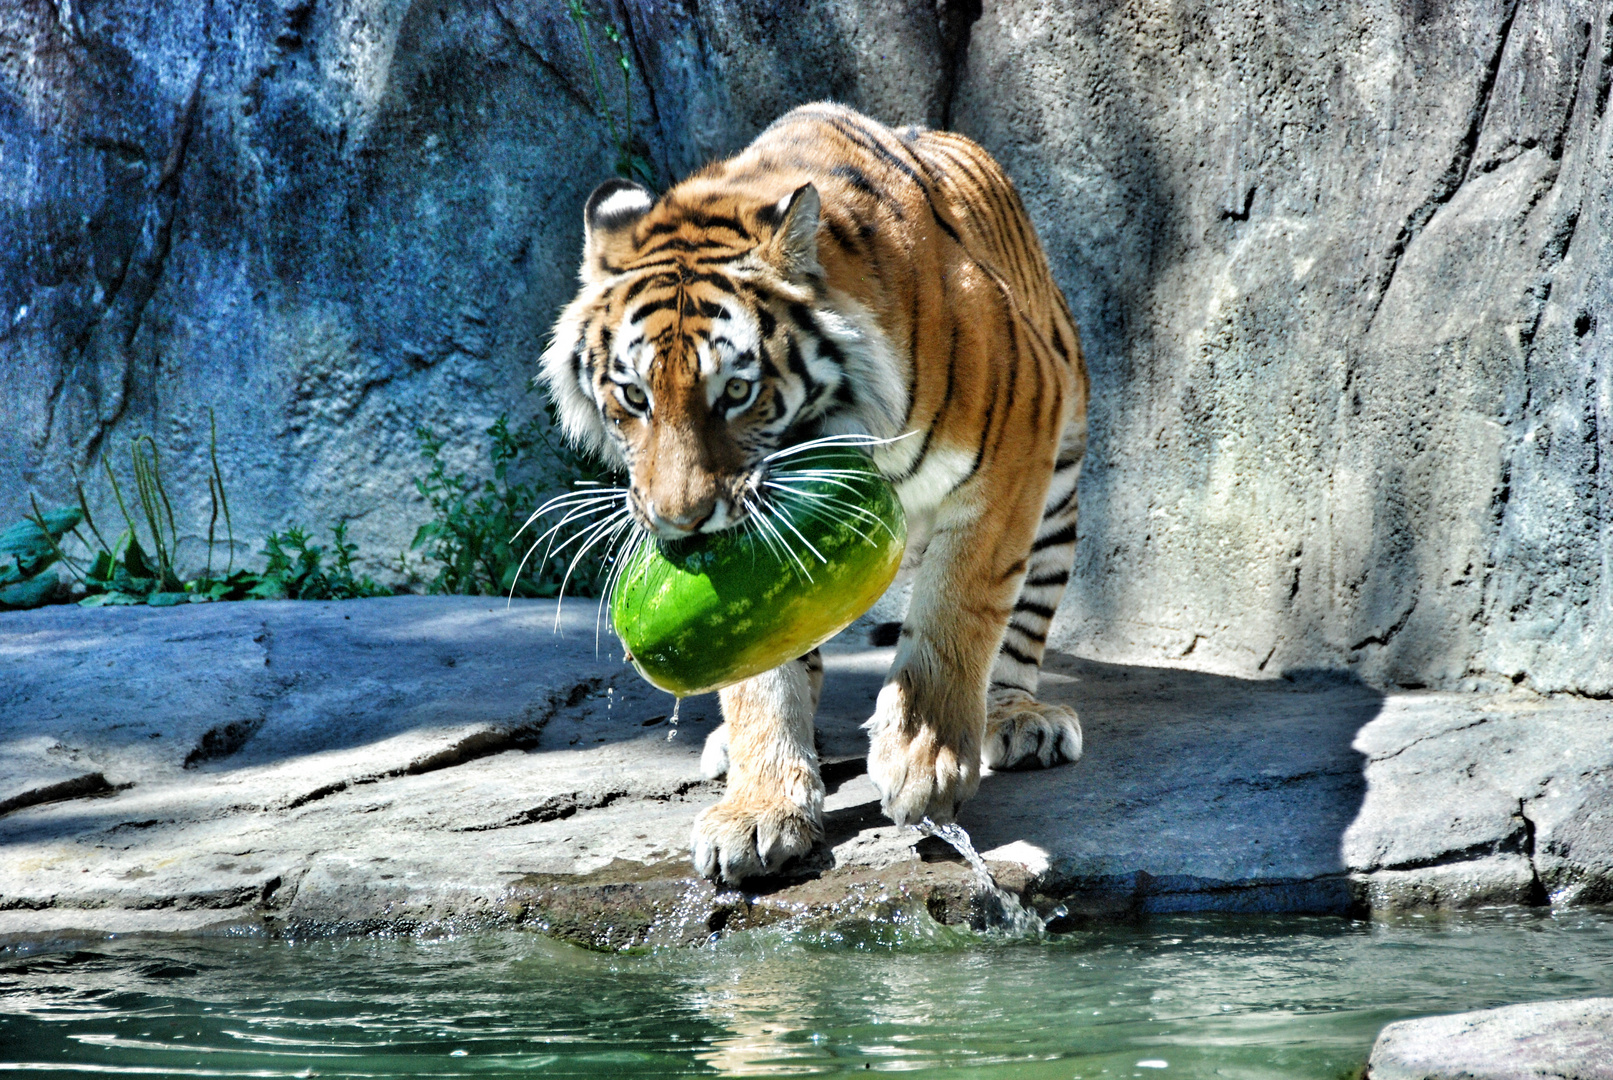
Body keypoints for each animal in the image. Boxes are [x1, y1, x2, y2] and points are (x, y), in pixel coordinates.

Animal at [538, 101, 1083, 889]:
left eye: (736, 392)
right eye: (635, 397)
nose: (679, 520)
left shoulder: (1017, 433)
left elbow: (958, 607)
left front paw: (922, 758)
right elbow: (763, 676)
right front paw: (761, 809)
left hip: (1059, 483)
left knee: (1020, 619)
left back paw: (1015, 719)